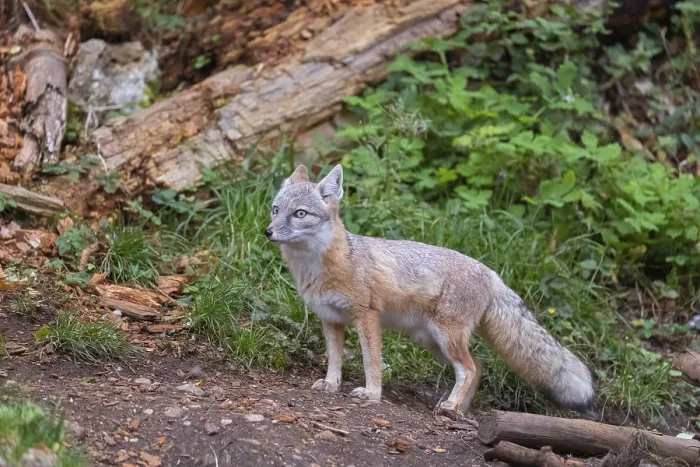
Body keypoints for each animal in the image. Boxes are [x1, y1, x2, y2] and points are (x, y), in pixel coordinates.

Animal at [265, 164, 595, 419]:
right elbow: (334, 359)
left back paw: (451, 405)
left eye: (300, 214)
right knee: (479, 366)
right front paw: (332, 385)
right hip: (434, 343)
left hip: (445, 338)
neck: (322, 266)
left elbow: (371, 362)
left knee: (469, 369)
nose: (267, 232)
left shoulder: (367, 318)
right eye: (275, 210)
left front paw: (372, 395)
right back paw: (457, 409)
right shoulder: (331, 319)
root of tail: (490, 272)